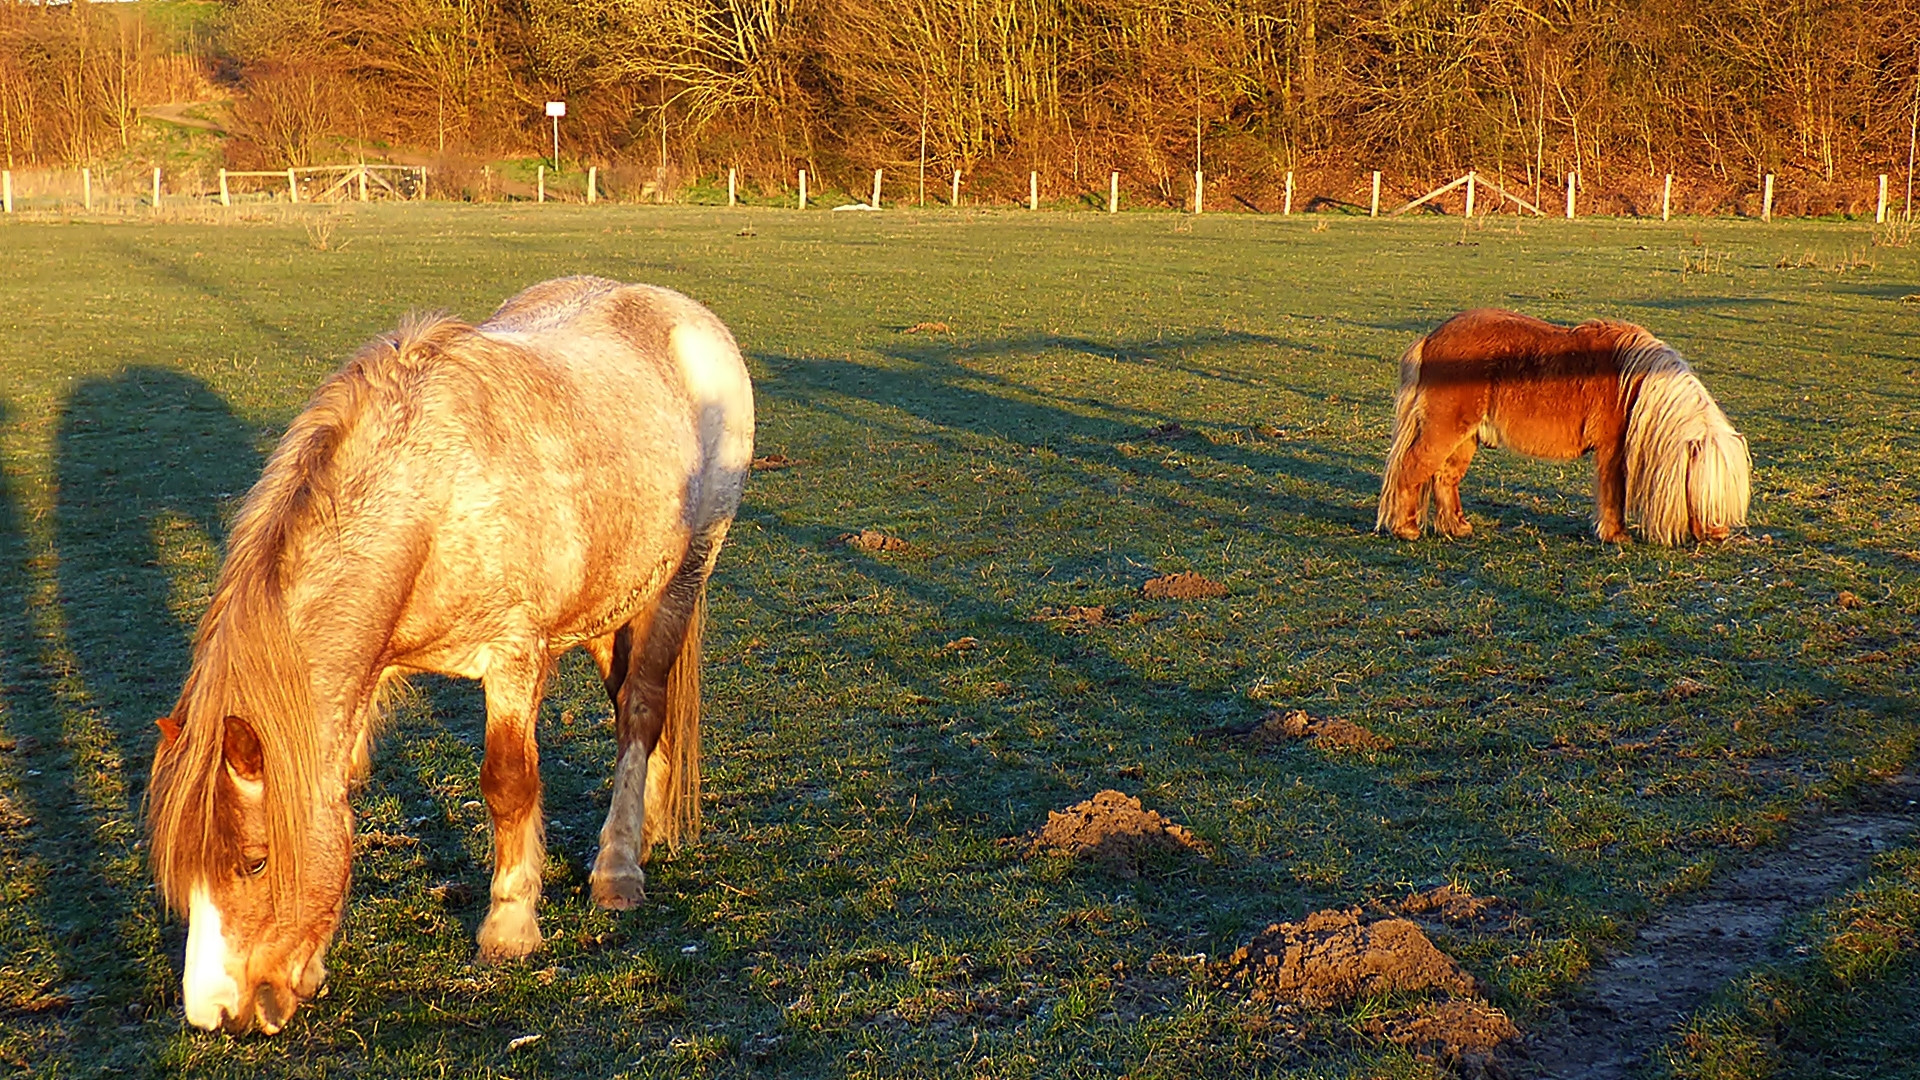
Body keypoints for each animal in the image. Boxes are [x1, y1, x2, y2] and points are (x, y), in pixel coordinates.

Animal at [142, 272, 752, 1030]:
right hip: (612, 600)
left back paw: (618, 870)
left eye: (254, 861)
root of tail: (679, 310)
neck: (434, 496)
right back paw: (646, 831)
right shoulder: (369, 673)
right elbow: (341, 788)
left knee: (641, 709)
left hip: (684, 573)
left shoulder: (515, 656)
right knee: (633, 707)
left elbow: (509, 783)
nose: (214, 1013)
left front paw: (509, 927)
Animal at [1374, 309, 1751, 545]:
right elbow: (1614, 490)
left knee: (1444, 477)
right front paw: (1616, 535)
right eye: (1704, 491)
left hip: (1464, 438)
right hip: (1443, 431)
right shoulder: (1612, 449)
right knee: (1411, 469)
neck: (1633, 381)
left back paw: (1456, 527)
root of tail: (1431, 339)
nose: (1719, 535)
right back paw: (1405, 529)